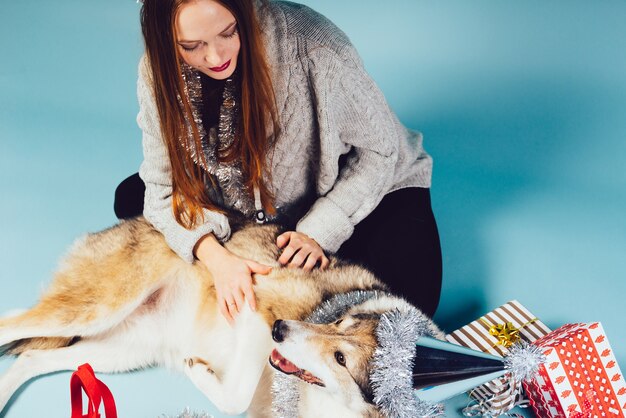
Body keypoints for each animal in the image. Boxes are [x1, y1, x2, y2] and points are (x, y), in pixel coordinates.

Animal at [0, 217, 442, 416]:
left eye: (340, 358)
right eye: (336, 323)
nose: (281, 329)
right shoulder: (254, 311)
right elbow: (236, 395)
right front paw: (199, 370)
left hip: (122, 353)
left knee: (31, 358)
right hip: (91, 312)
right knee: (11, 323)